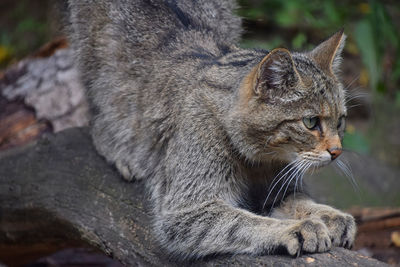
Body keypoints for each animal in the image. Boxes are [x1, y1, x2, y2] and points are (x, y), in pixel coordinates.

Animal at [63, 0, 356, 260]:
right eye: (311, 122)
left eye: (340, 121)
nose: (337, 151)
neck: (258, 160)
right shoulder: (186, 211)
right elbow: (243, 222)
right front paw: (296, 228)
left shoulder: (278, 188)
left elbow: (301, 202)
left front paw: (329, 214)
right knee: (99, 116)